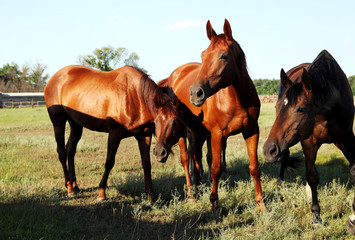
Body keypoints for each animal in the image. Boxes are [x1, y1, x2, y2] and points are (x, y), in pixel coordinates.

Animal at [44, 65, 181, 201]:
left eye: (175, 122)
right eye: (157, 121)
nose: (160, 153)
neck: (134, 95)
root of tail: (53, 78)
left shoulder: (144, 135)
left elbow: (146, 164)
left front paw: (150, 196)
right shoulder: (115, 133)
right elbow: (109, 162)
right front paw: (101, 193)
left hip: (76, 124)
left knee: (70, 150)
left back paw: (75, 186)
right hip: (58, 122)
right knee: (62, 153)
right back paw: (70, 189)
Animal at [160, 19, 266, 211]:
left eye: (223, 56)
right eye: (203, 55)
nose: (195, 93)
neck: (236, 100)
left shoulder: (252, 131)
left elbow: (254, 167)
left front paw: (262, 205)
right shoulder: (217, 134)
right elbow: (216, 169)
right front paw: (215, 204)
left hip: (198, 132)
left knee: (196, 156)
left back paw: (199, 186)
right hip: (182, 133)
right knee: (186, 158)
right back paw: (191, 195)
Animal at [262, 50, 355, 234]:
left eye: (300, 109)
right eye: (276, 106)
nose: (268, 150)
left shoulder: (346, 137)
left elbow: (354, 170)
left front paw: (353, 219)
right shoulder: (308, 141)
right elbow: (312, 176)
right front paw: (317, 217)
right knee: (286, 158)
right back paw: (279, 186)